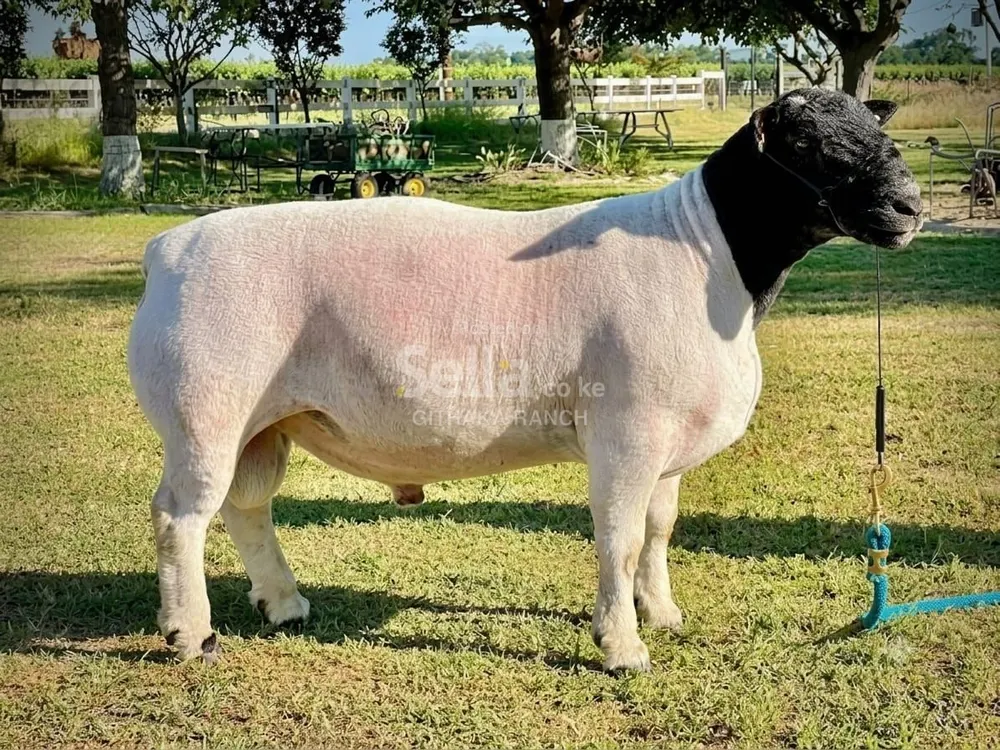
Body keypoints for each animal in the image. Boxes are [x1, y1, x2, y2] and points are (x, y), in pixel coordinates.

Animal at [127, 88, 922, 672]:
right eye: (808, 145)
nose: (910, 207)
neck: (709, 252)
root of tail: (167, 248)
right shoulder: (626, 434)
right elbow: (620, 538)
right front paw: (622, 647)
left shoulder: (668, 440)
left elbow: (659, 530)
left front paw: (662, 614)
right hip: (205, 408)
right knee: (180, 515)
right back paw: (191, 634)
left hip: (265, 421)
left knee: (247, 507)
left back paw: (283, 604)